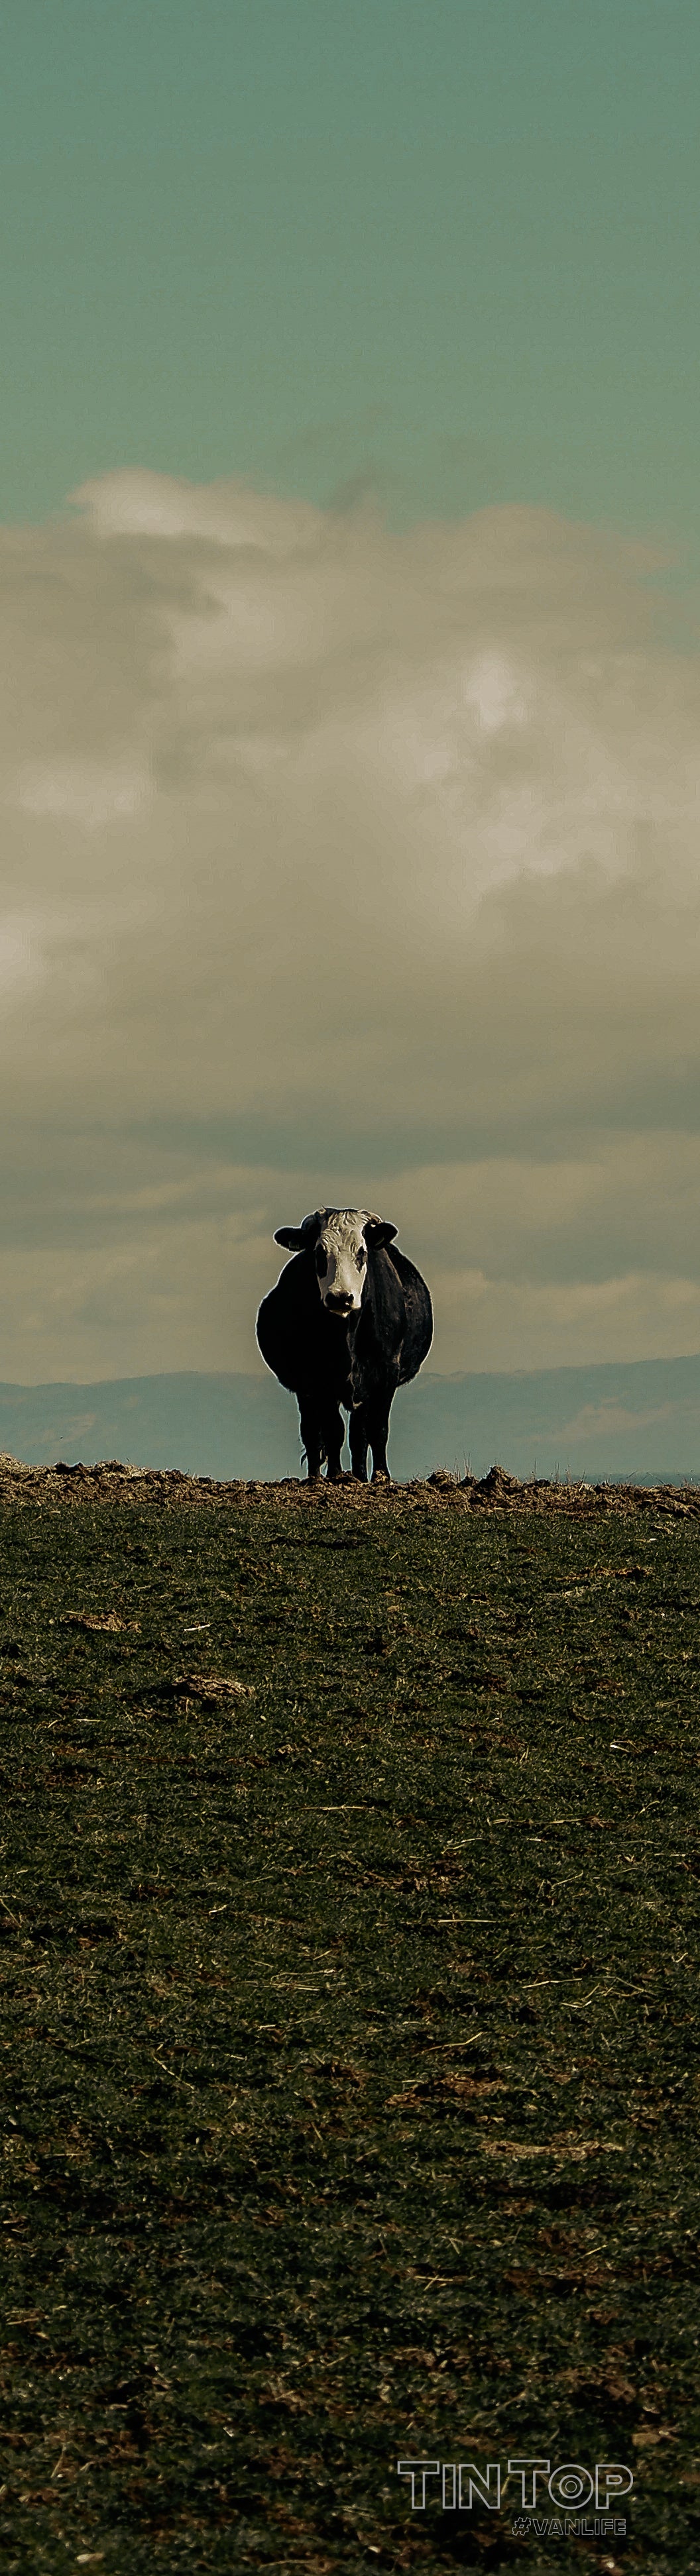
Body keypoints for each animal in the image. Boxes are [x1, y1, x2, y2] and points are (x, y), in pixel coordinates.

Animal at [257, 1200, 432, 1483]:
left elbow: (374, 1431)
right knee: (312, 1432)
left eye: (361, 1253)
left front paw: (379, 1478)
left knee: (356, 1435)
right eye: (319, 1253)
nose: (340, 1297)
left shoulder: (384, 1372)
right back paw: (316, 1478)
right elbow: (333, 1431)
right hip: (306, 1390)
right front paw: (336, 1477)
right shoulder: (319, 1378)